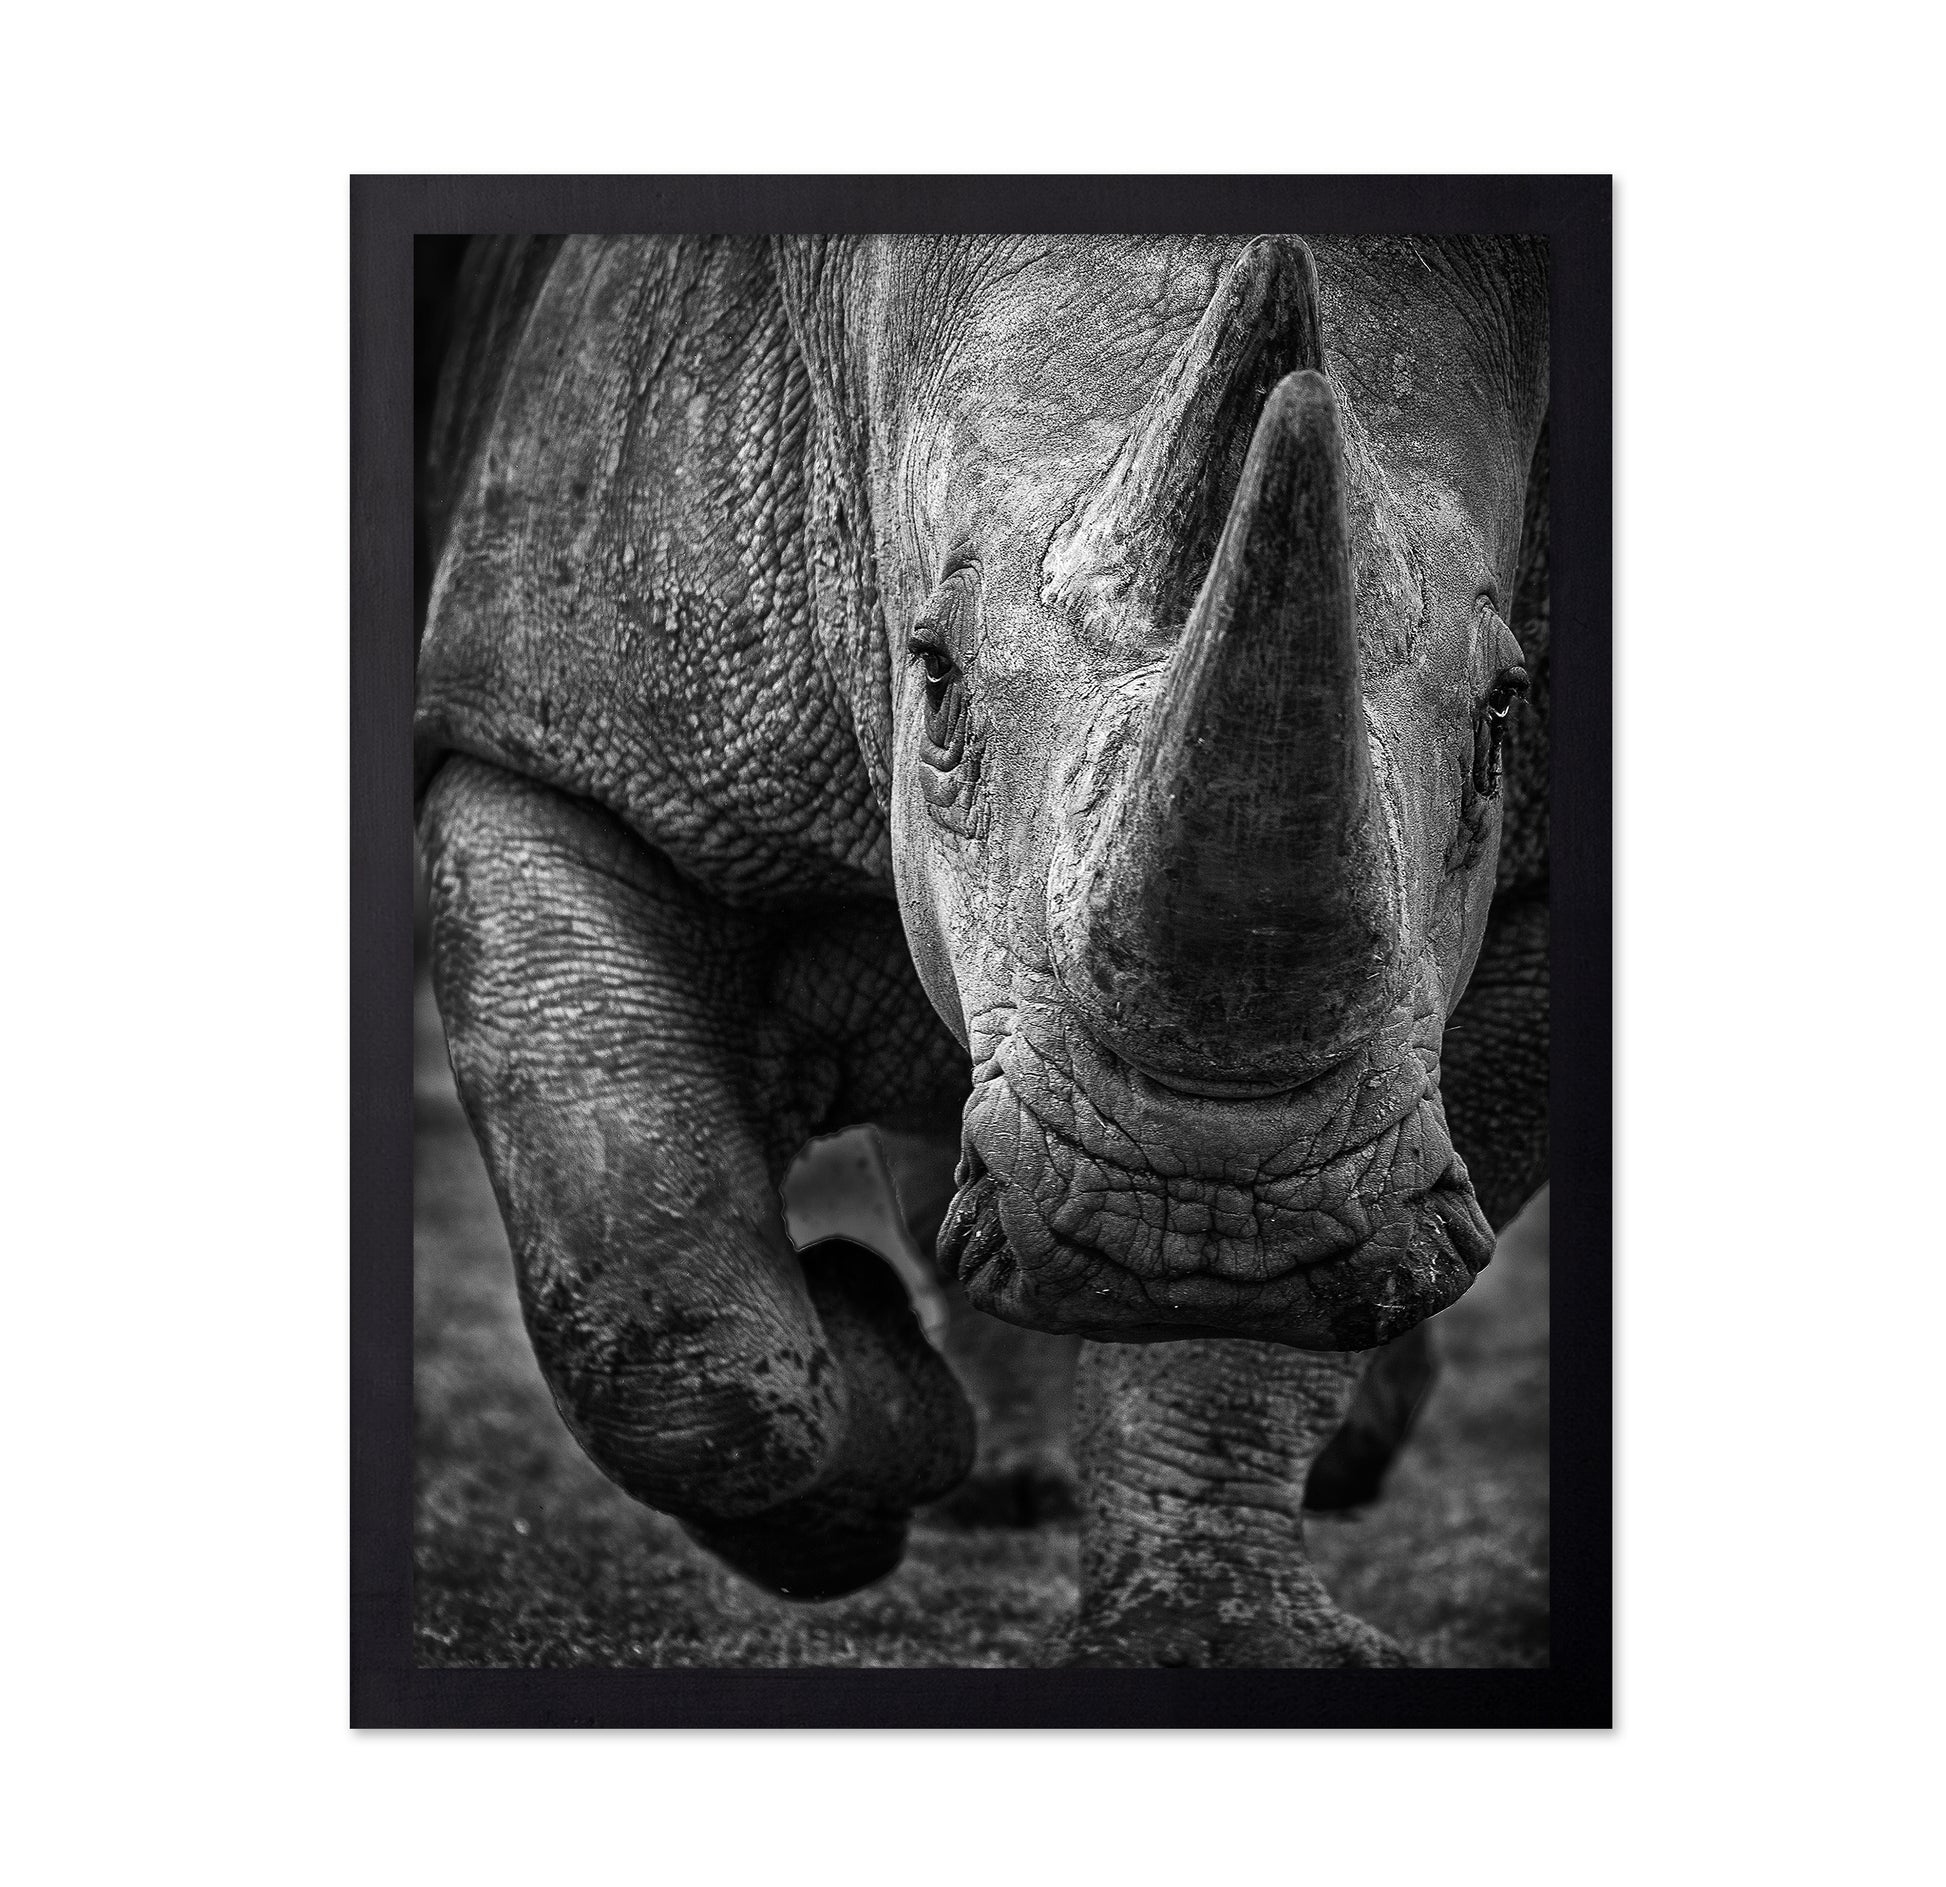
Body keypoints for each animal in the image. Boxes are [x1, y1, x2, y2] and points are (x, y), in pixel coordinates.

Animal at [416, 232, 1551, 1667]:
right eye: (936, 679)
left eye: (1503, 716)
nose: (1199, 1208)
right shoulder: (552, 735)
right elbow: (660, 1302)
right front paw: (878, 1399)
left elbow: (1243, 1345)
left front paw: (1211, 1640)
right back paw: (984, 1469)